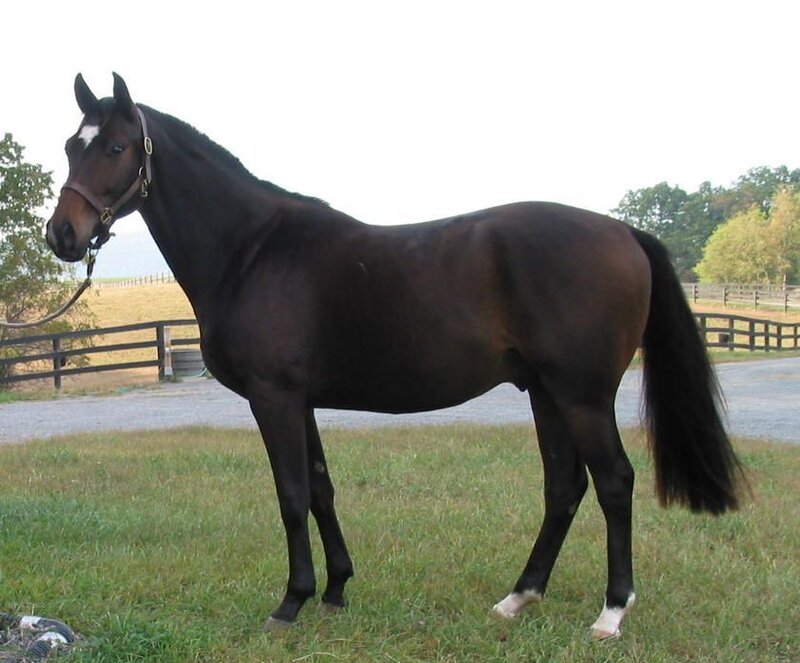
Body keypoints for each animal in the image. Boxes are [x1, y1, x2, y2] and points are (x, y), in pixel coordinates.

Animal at [45, 73, 744, 639]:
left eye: (115, 148)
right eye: (71, 147)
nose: (63, 235)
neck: (253, 250)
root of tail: (622, 230)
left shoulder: (274, 398)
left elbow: (291, 494)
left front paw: (290, 603)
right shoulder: (300, 400)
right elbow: (321, 489)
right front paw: (334, 591)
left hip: (583, 395)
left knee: (615, 483)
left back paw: (611, 612)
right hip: (547, 393)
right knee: (563, 487)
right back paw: (518, 599)